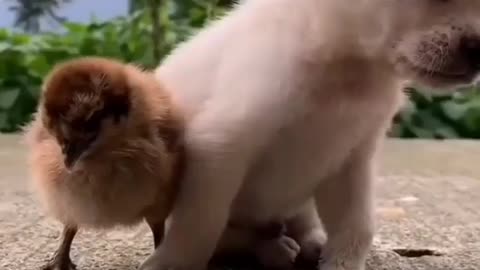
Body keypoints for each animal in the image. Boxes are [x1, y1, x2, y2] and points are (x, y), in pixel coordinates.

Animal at [135, 0, 480, 270]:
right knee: (235, 236)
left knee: (298, 222)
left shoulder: (351, 159)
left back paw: (306, 242)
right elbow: (201, 223)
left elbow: (357, 225)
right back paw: (274, 249)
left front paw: (341, 263)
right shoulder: (220, 145)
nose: (478, 50)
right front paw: (171, 263)